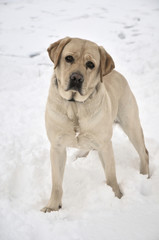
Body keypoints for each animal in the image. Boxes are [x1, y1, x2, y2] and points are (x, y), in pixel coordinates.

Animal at [40, 37, 149, 212]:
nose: (76, 78)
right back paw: (80, 156)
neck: (75, 106)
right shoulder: (56, 146)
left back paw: (144, 176)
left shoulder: (105, 145)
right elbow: (56, 184)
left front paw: (117, 197)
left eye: (90, 64)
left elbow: (111, 177)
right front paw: (52, 207)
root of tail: (117, 73)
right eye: (68, 58)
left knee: (144, 153)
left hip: (131, 125)